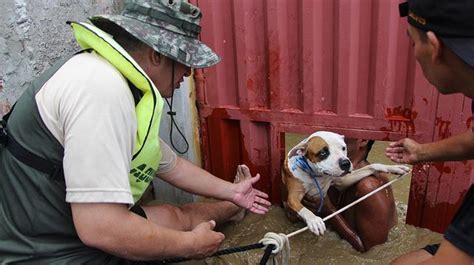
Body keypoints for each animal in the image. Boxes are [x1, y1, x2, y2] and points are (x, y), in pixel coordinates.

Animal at [282, 130, 412, 235]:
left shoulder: (342, 180)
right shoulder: (293, 196)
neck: (318, 176)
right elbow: (303, 208)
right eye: (323, 153)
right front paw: (314, 220)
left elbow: (372, 166)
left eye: (343, 148)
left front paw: (394, 168)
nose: (345, 163)